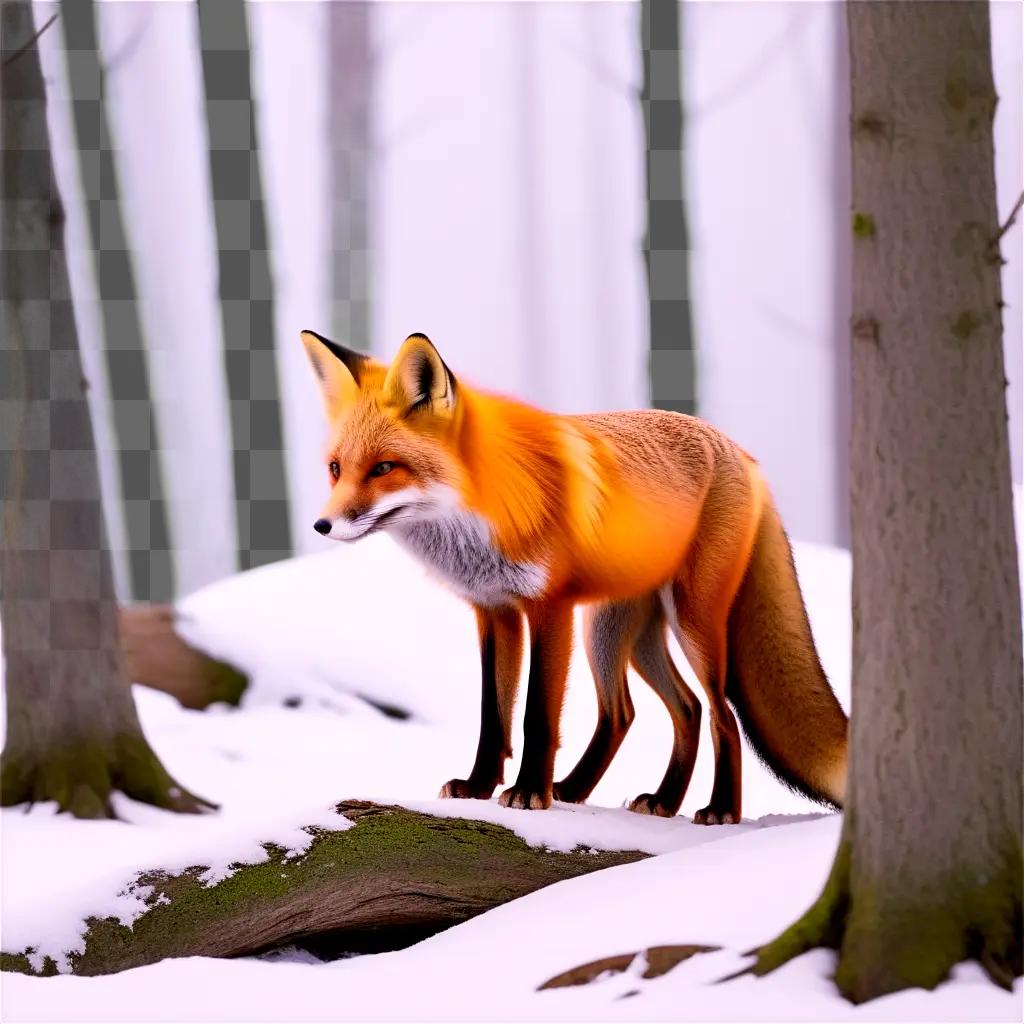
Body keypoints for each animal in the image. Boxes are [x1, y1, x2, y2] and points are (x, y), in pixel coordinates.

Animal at [299, 329, 847, 823]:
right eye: (336, 468)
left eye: (384, 468)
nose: (322, 525)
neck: (482, 518)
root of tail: (742, 453)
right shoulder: (494, 611)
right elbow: (492, 717)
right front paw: (478, 787)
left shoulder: (550, 607)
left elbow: (536, 715)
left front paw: (527, 795)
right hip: (614, 631)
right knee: (654, 710)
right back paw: (633, 797)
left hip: (690, 622)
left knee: (721, 715)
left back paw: (718, 810)